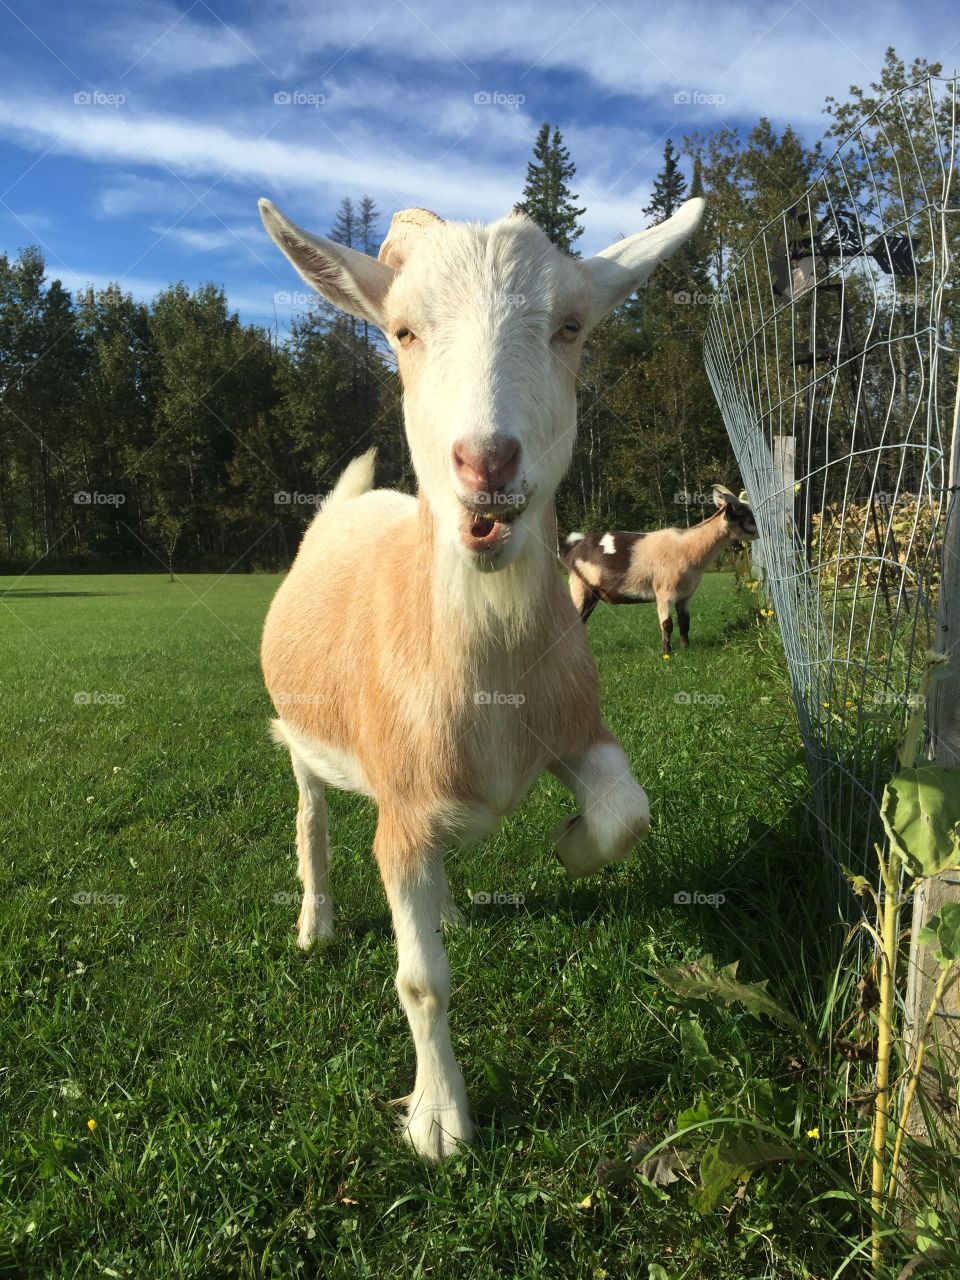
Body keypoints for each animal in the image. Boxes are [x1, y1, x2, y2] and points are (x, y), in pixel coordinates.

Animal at [257, 194, 704, 1160]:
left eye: (572, 325)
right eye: (402, 331)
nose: (486, 463)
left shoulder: (576, 722)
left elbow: (629, 815)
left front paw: (571, 843)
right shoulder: (399, 801)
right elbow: (420, 980)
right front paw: (439, 1122)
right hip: (300, 733)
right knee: (311, 816)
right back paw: (316, 924)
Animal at [562, 486, 758, 652]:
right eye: (748, 516)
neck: (687, 548)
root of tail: (575, 548)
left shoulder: (685, 595)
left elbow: (684, 622)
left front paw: (686, 647)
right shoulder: (664, 592)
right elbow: (667, 624)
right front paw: (666, 653)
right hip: (580, 588)